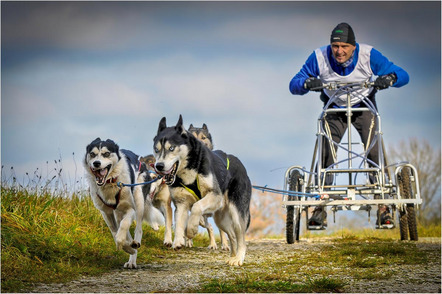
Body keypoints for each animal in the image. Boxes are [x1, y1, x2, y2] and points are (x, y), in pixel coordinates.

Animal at [83, 138, 162, 268]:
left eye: (106, 153)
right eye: (92, 154)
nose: (96, 163)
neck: (111, 182)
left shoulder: (130, 209)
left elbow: (124, 226)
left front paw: (125, 244)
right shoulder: (106, 212)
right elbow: (115, 232)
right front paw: (127, 246)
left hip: (139, 201)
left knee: (137, 230)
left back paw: (133, 258)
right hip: (118, 212)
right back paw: (131, 246)